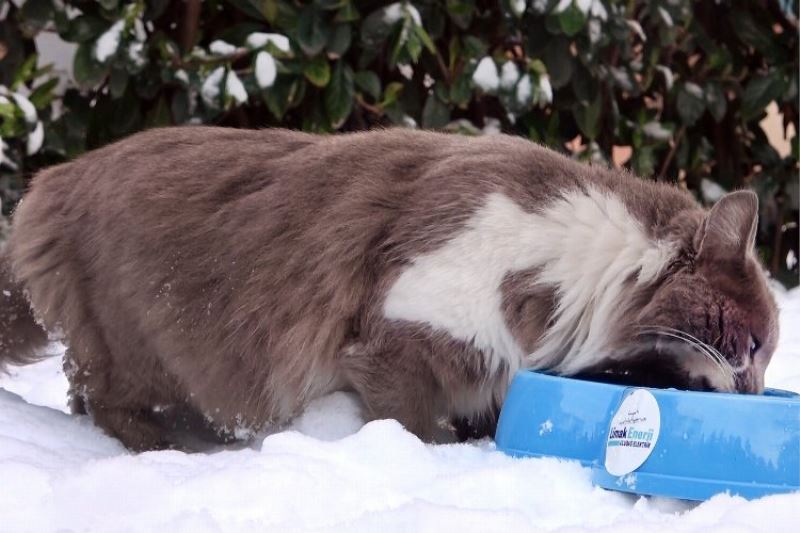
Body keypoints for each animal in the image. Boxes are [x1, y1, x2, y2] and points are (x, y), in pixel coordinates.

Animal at [0, 128, 776, 448]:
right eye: (753, 342)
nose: (758, 392)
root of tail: (47, 184)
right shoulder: (403, 334)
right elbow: (415, 424)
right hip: (136, 341)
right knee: (100, 394)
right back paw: (161, 445)